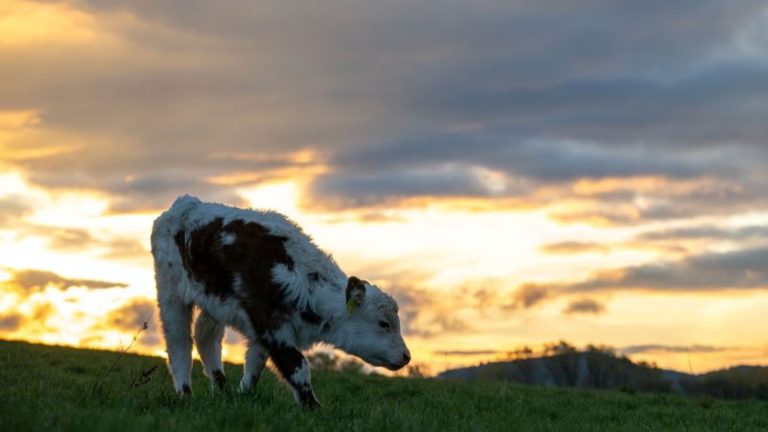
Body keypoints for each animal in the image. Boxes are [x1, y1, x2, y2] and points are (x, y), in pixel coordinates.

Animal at [152, 194, 412, 406]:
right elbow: (298, 367)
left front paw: (243, 396)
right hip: (169, 290)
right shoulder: (270, 325)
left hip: (213, 302)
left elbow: (254, 364)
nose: (406, 356)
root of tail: (185, 203)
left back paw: (221, 390)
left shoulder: (262, 330)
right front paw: (313, 407)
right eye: (383, 323)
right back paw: (185, 394)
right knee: (179, 342)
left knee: (206, 337)